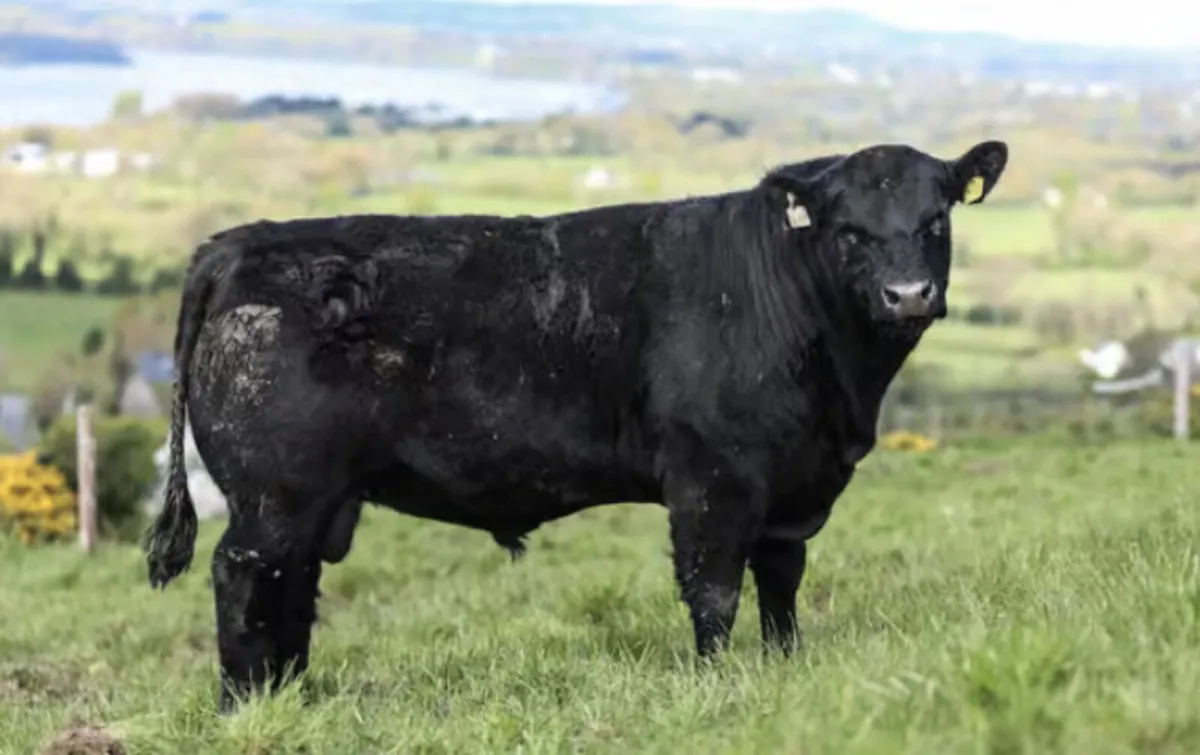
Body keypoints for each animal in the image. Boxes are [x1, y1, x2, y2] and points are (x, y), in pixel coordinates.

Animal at [143, 140, 1009, 713]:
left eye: (937, 219)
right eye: (849, 230)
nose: (908, 293)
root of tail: (243, 240)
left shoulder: (792, 486)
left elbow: (781, 583)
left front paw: (784, 666)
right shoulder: (713, 477)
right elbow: (714, 589)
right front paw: (714, 684)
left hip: (315, 501)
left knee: (290, 589)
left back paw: (292, 697)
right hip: (275, 493)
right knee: (244, 578)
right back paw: (244, 708)